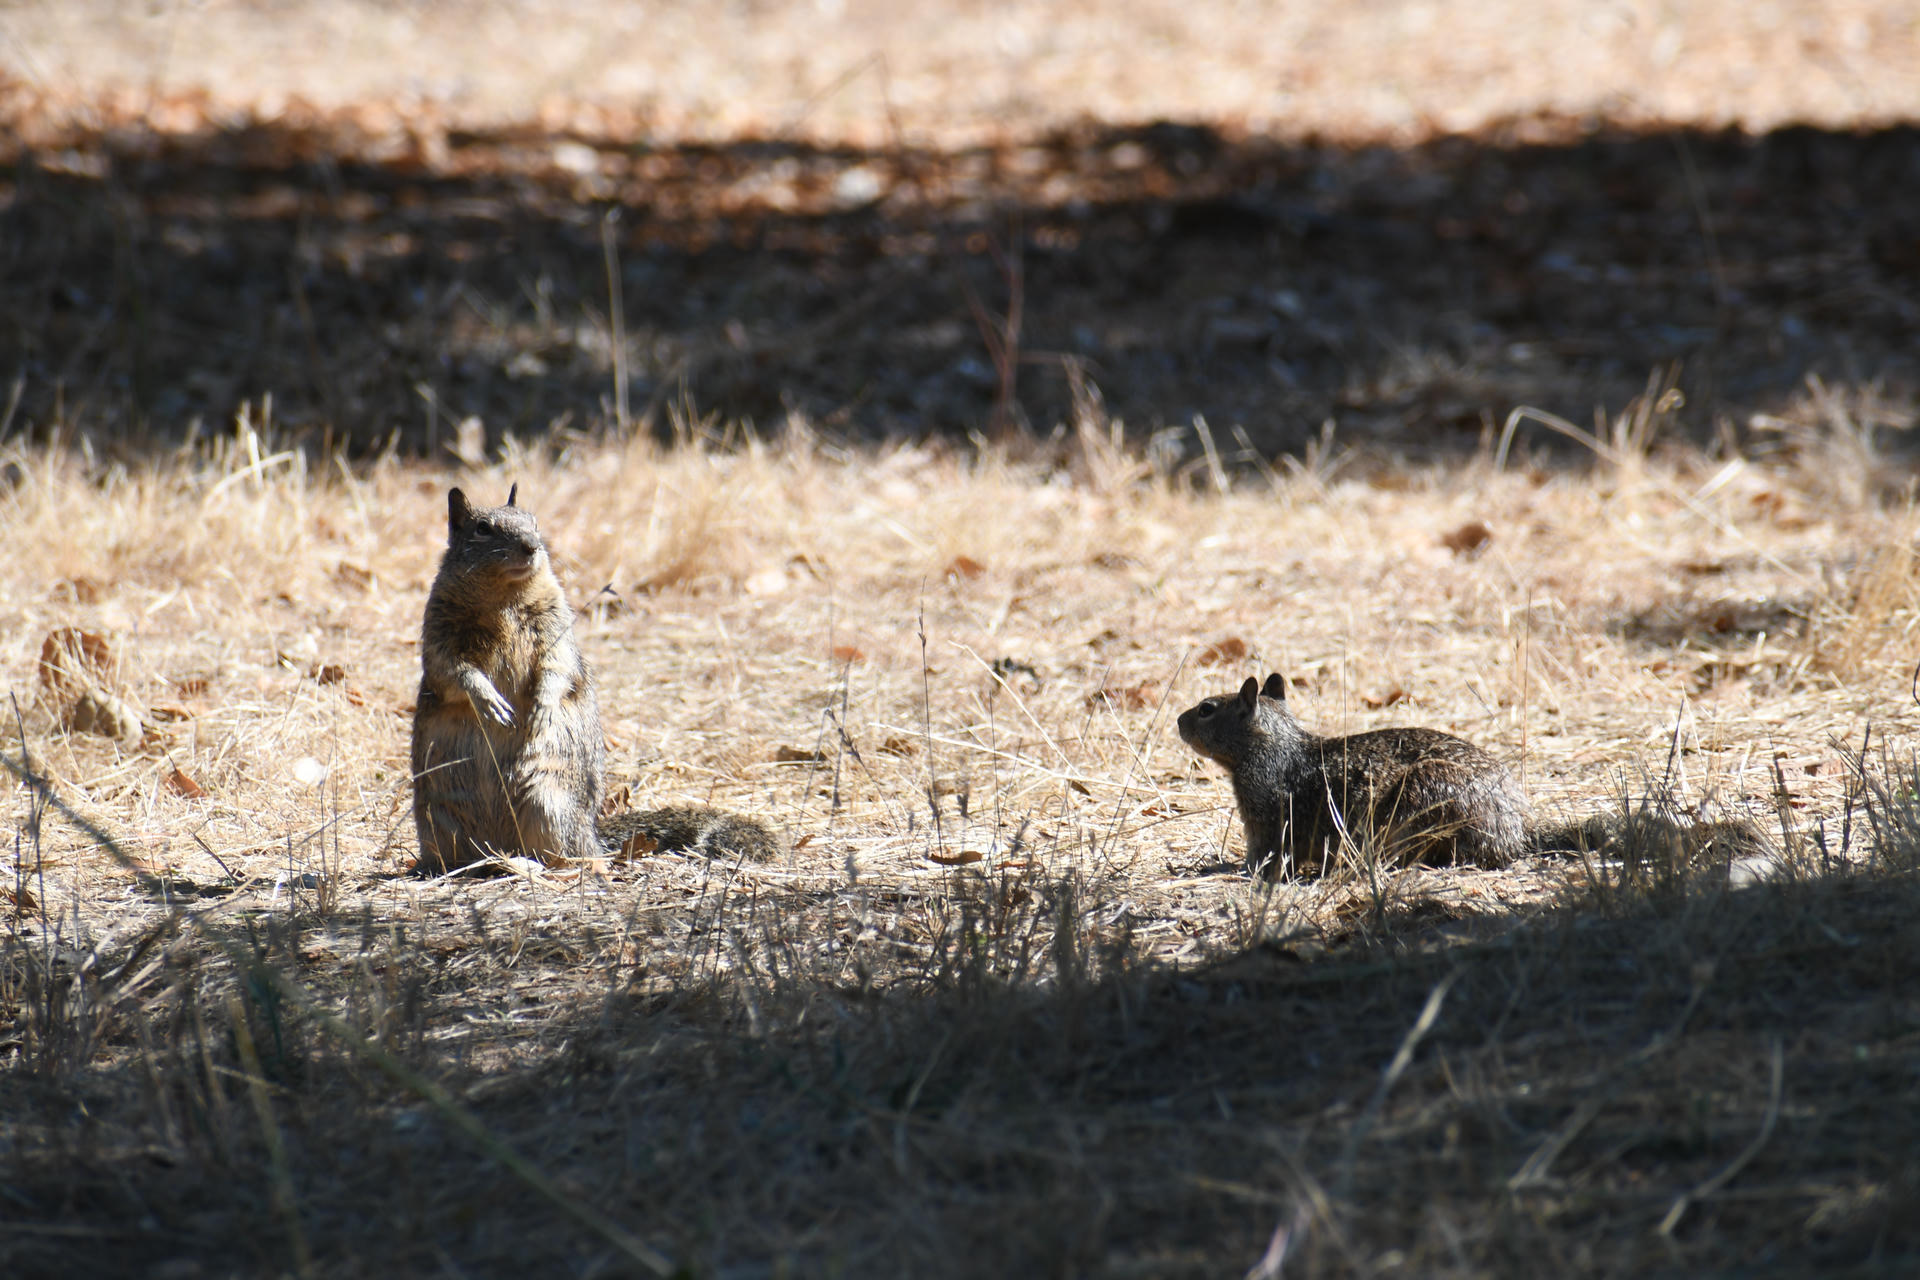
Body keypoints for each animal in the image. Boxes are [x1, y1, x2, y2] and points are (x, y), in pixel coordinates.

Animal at [410, 485, 777, 873]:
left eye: (535, 522)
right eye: (482, 528)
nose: (531, 546)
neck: (504, 597)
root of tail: (593, 833)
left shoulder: (556, 628)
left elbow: (558, 667)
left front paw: (542, 707)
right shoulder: (439, 633)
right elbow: (453, 671)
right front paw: (488, 700)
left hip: (548, 801)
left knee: (571, 856)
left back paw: (538, 864)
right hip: (441, 819)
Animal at [1176, 673, 1527, 877]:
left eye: (1206, 709)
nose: (1179, 721)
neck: (1273, 745)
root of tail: (1511, 836)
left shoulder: (1264, 823)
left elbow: (1262, 857)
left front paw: (1229, 869)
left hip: (1419, 800)